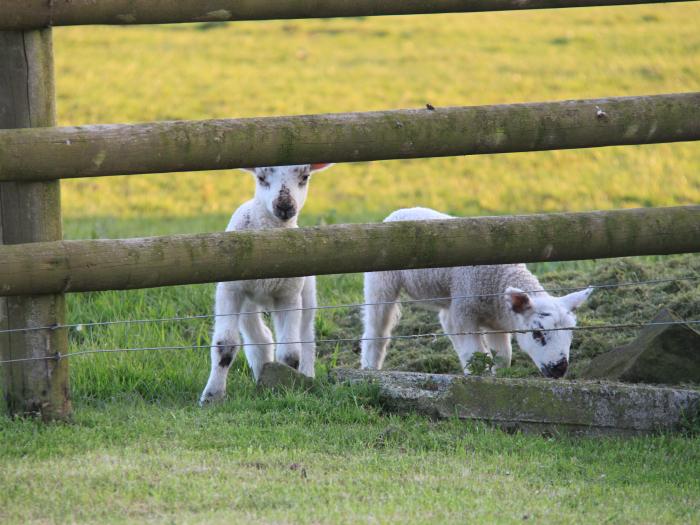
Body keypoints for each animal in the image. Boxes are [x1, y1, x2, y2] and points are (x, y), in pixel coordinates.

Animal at [200, 162, 334, 404]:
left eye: (305, 177)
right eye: (261, 178)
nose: (285, 205)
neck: (268, 246)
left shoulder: (289, 294)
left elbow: (290, 353)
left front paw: (287, 386)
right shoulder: (230, 290)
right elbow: (225, 345)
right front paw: (212, 395)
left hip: (307, 293)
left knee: (306, 338)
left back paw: (305, 375)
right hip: (247, 300)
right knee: (260, 337)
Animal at [360, 206, 596, 376]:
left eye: (571, 333)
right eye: (537, 334)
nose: (560, 369)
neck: (496, 282)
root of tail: (399, 212)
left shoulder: (496, 322)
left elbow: (503, 357)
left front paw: (498, 376)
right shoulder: (465, 314)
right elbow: (475, 353)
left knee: (446, 320)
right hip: (381, 282)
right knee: (376, 330)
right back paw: (370, 369)